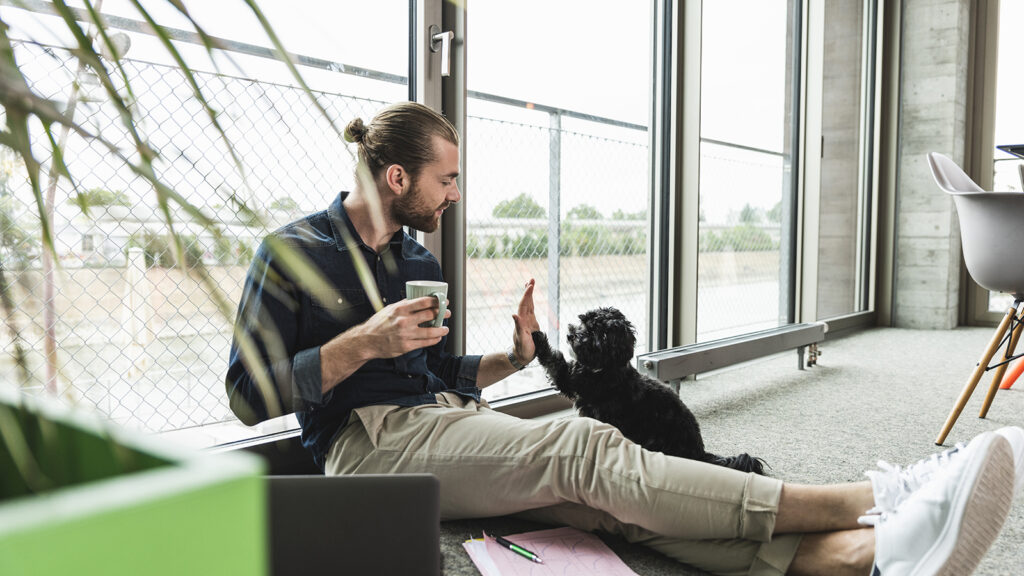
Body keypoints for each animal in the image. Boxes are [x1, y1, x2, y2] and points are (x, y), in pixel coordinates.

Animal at [532, 305, 765, 471]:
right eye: (583, 323)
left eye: (596, 333)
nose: (571, 335)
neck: (606, 368)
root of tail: (699, 452)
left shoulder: (574, 382)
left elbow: (553, 361)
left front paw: (537, 338)